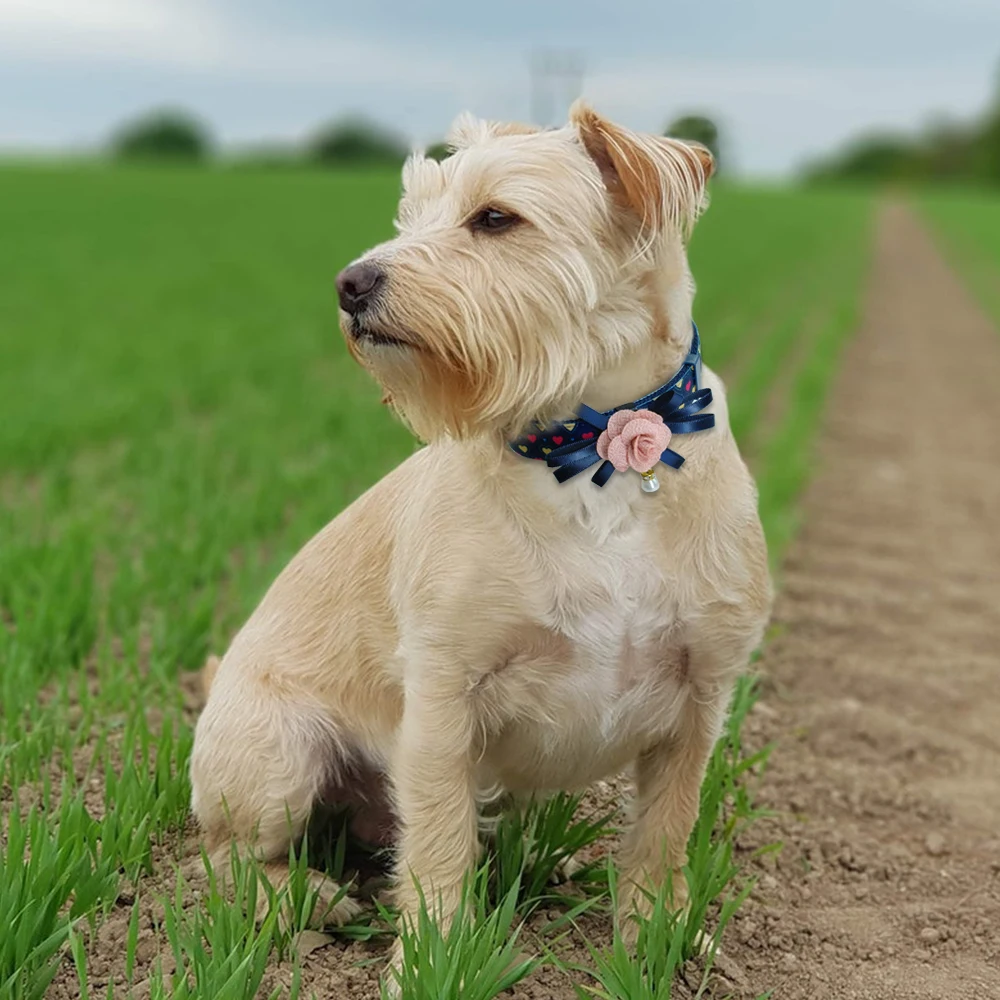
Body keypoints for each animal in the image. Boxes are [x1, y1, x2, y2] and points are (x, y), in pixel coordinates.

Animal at [191, 101, 776, 960]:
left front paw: (660, 946)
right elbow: (437, 849)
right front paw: (431, 965)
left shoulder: (699, 700)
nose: (349, 283)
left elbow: (661, 839)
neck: (596, 453)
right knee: (223, 859)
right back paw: (307, 898)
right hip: (275, 759)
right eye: (410, 216)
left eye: (496, 217)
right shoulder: (444, 695)